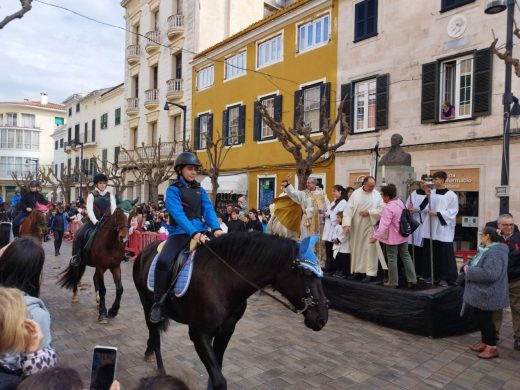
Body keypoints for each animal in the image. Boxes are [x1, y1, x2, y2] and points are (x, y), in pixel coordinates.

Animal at [134, 232, 330, 390]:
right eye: (307, 274)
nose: (322, 319)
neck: (222, 281)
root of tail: (145, 251)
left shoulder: (226, 330)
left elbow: (216, 372)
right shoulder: (198, 333)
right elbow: (219, 380)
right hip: (146, 303)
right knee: (155, 335)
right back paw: (159, 368)